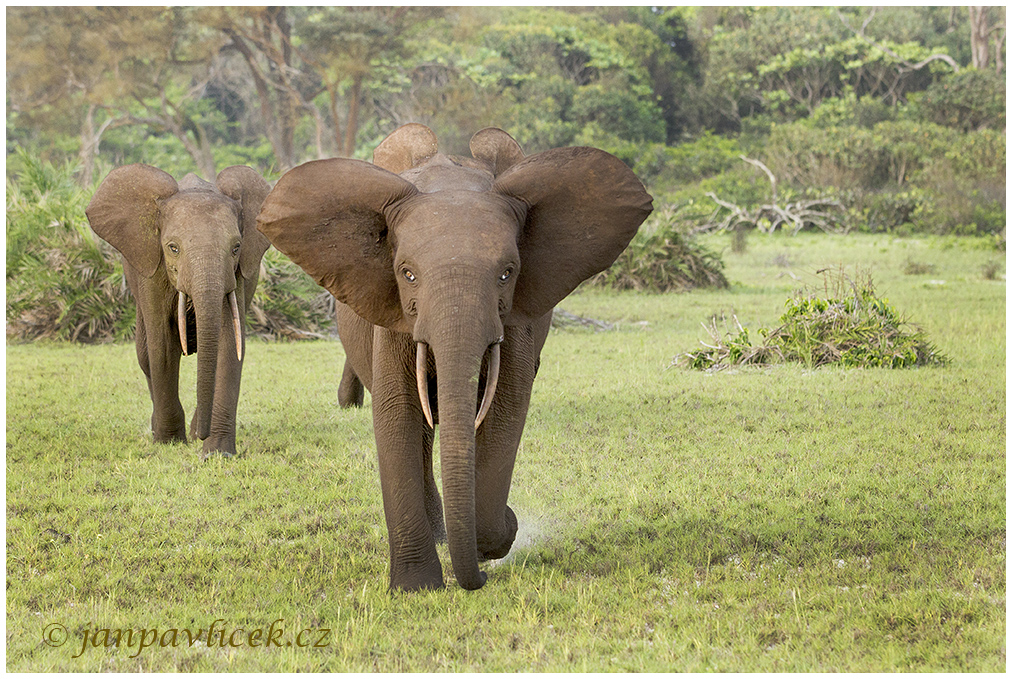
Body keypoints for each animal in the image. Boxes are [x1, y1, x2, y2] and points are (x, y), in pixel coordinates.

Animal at [85, 166, 271, 459]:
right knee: (144, 355)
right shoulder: (153, 271)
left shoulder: (238, 276)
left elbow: (230, 344)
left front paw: (216, 453)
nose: (202, 435)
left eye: (236, 248)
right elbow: (162, 347)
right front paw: (168, 442)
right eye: (173, 248)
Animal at [252, 123, 647, 590]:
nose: (477, 577)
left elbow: (505, 410)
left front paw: (497, 534)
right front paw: (416, 588)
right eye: (407, 273)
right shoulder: (394, 318)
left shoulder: (515, 323)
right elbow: (397, 413)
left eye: (507, 273)